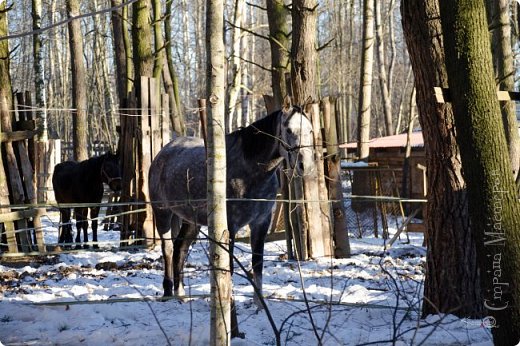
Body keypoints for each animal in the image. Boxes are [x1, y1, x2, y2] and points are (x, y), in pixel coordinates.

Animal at [148, 97, 314, 306]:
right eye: (289, 130)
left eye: (311, 130)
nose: (305, 166)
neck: (251, 172)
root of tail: (163, 153)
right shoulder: (231, 226)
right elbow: (229, 268)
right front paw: (230, 305)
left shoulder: (261, 223)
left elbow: (257, 264)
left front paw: (259, 305)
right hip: (162, 213)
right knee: (168, 249)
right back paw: (168, 291)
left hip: (191, 220)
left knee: (180, 248)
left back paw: (181, 293)